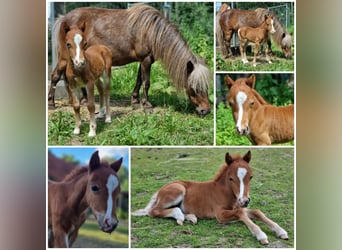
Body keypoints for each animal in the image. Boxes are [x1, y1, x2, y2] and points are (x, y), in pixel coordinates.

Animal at [48, 4, 211, 116]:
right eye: (194, 87)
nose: (206, 111)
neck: (152, 31)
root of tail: (64, 18)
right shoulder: (146, 59)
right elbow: (146, 82)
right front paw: (146, 104)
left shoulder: (144, 60)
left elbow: (139, 80)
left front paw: (135, 101)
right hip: (65, 57)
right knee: (55, 76)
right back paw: (51, 103)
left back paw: (82, 100)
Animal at [132, 150, 288, 244]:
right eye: (231, 178)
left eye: (251, 177)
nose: (245, 200)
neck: (225, 192)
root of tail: (159, 190)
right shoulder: (220, 214)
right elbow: (241, 213)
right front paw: (260, 235)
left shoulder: (237, 206)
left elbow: (255, 211)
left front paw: (280, 231)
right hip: (178, 190)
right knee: (153, 211)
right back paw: (180, 217)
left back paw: (191, 217)